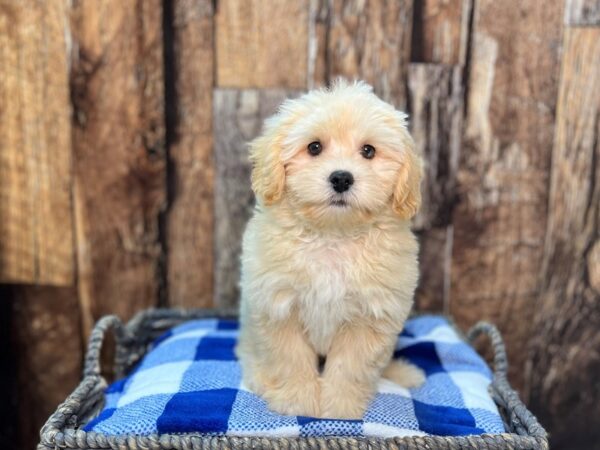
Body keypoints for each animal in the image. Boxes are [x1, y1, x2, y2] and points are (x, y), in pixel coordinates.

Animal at [237, 80, 424, 418]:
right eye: (314, 147)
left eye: (368, 151)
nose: (341, 178)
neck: (333, 236)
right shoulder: (278, 308)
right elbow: (291, 360)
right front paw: (297, 401)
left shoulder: (371, 317)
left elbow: (351, 367)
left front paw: (340, 408)